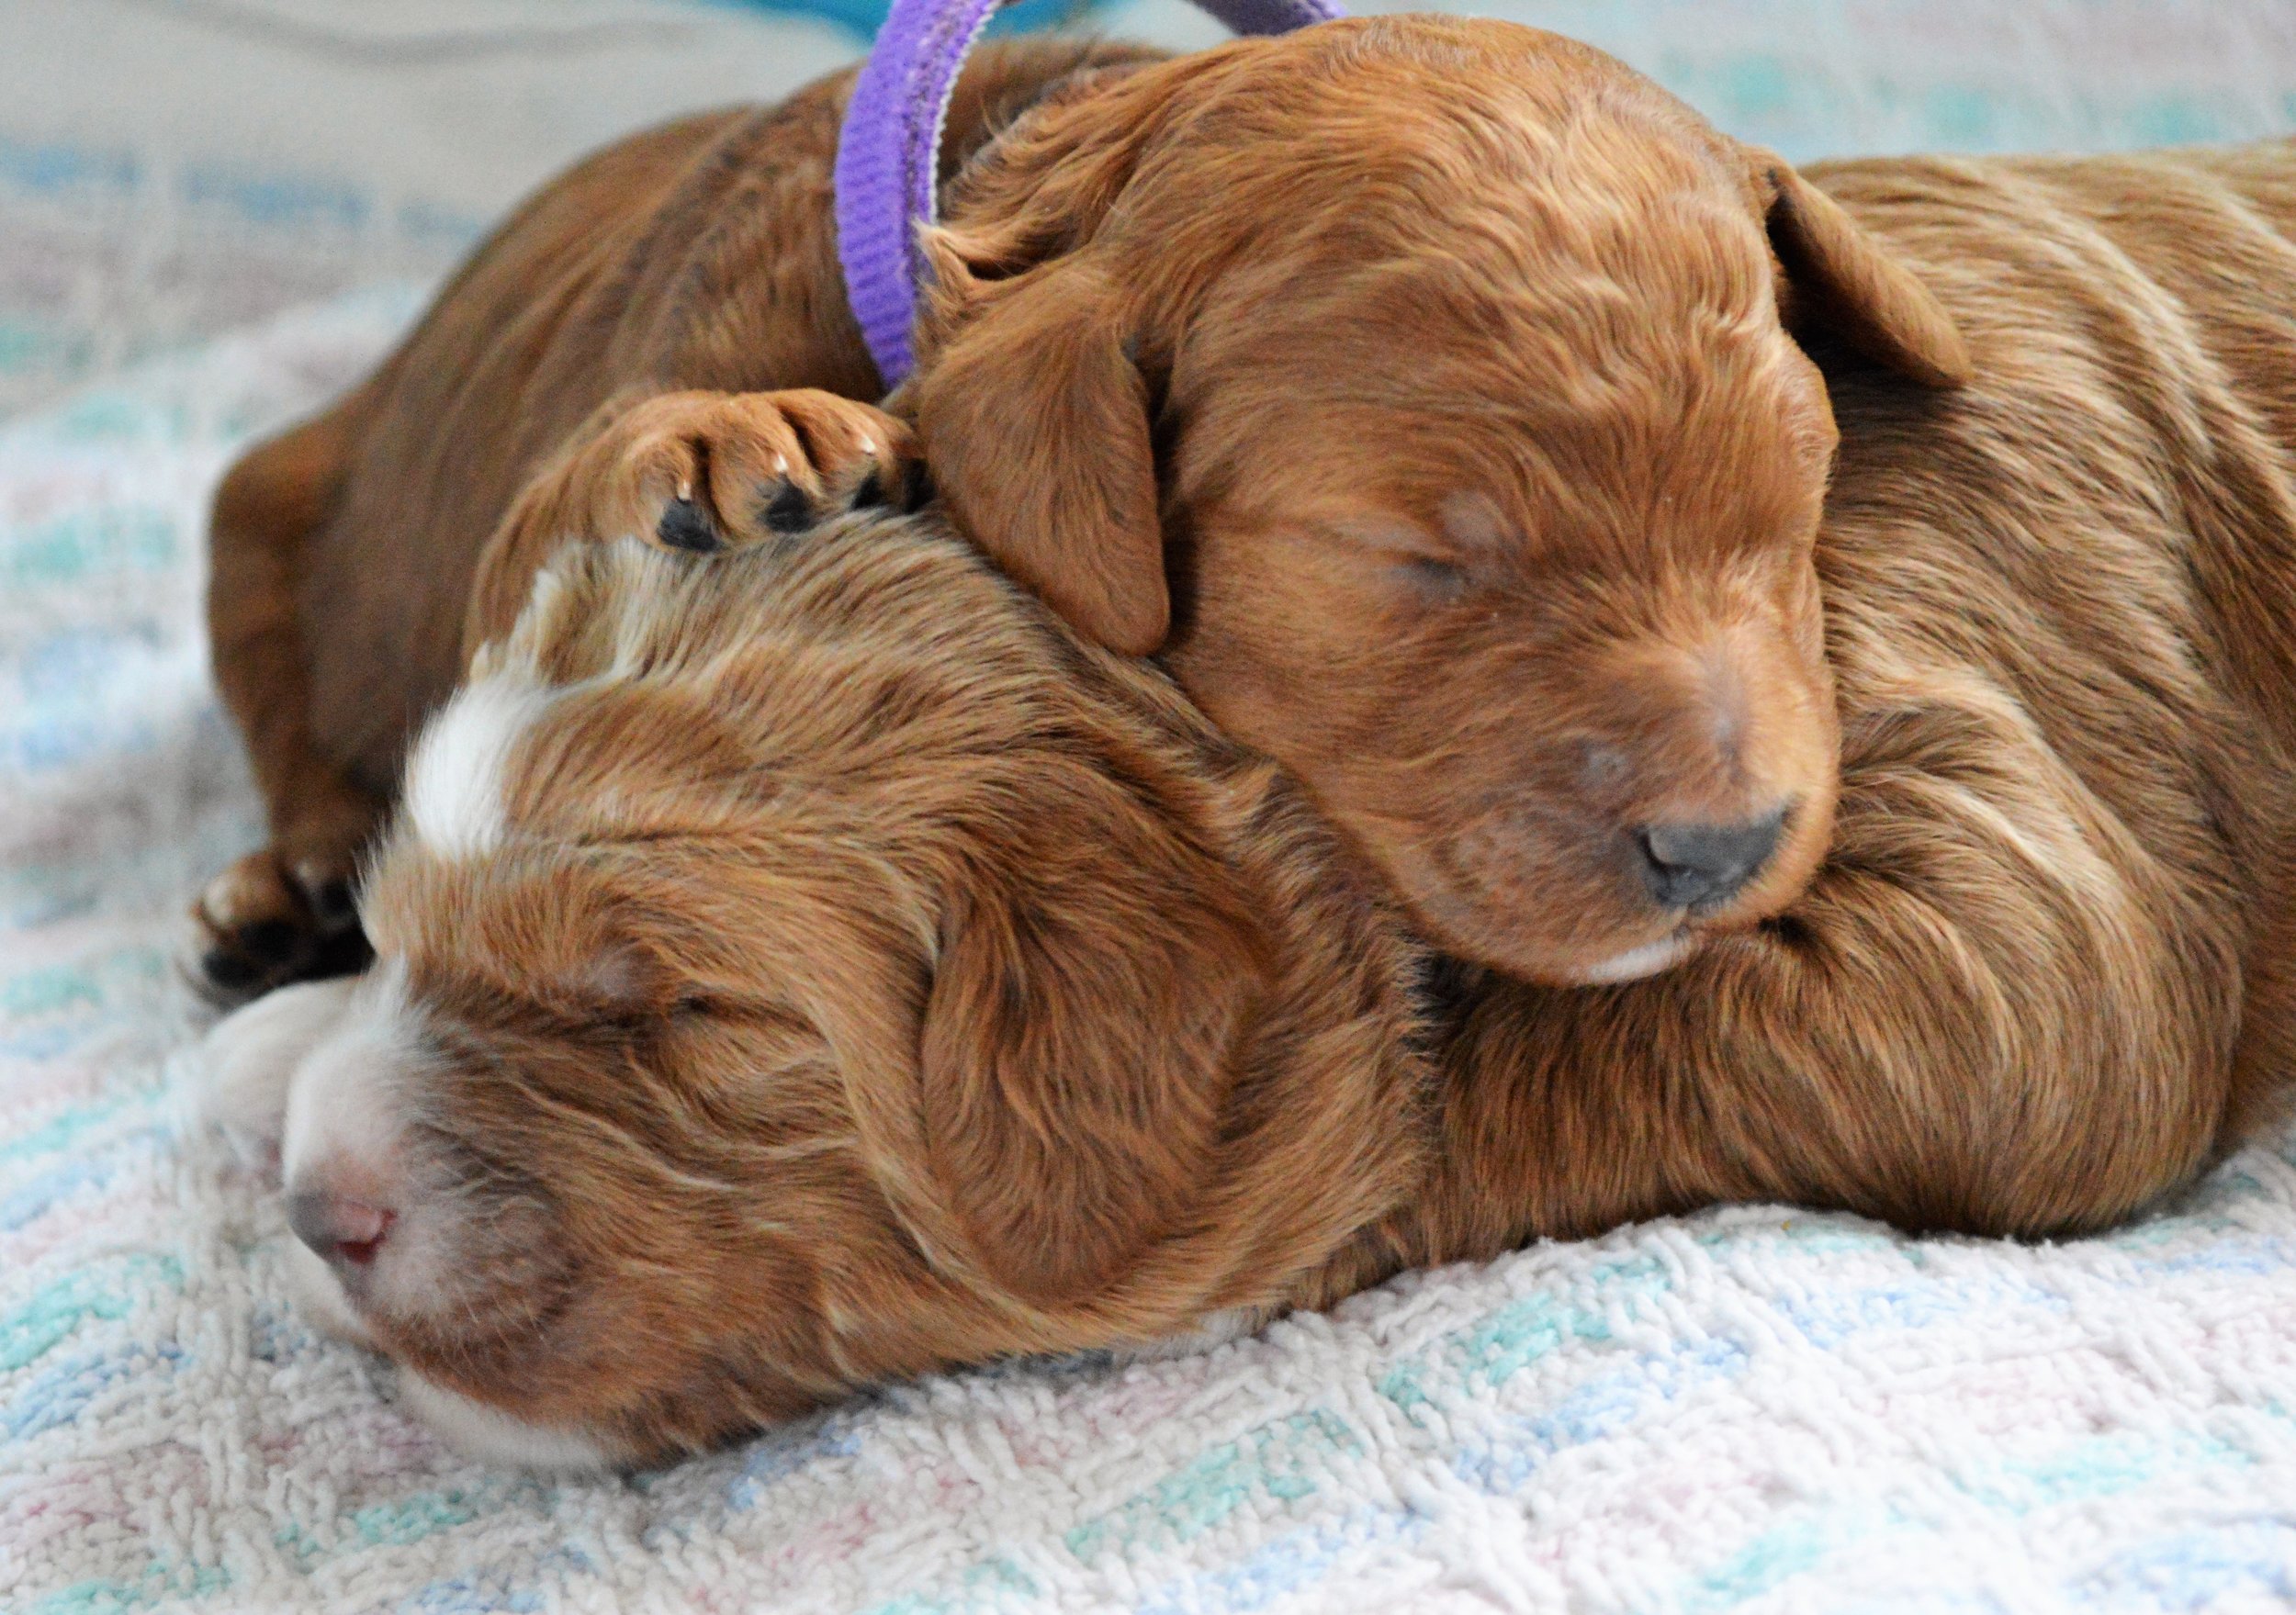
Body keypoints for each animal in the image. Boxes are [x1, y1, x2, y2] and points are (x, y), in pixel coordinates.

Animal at [193, 18, 1975, 995]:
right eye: (1410, 561)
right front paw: (734, 435)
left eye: (1794, 509)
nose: (1726, 845)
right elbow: (569, 503)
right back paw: (282, 897)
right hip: (259, 522)